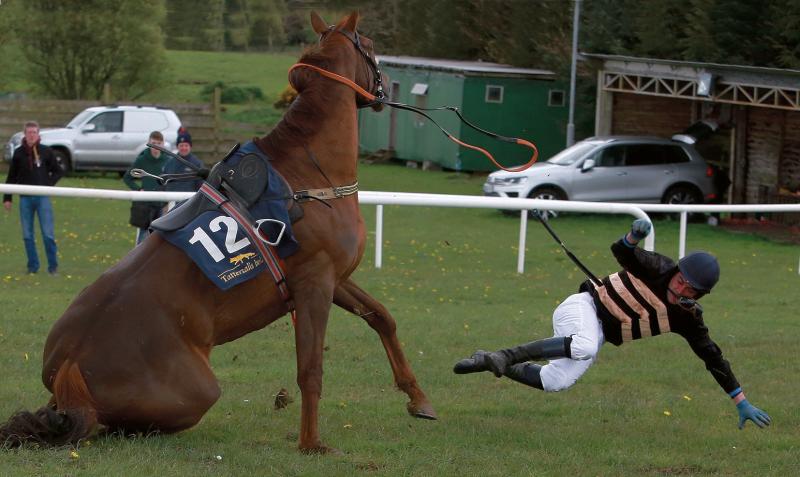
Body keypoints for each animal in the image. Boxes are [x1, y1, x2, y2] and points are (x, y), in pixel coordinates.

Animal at [0, 10, 434, 450]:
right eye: (372, 45)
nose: (384, 86)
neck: (308, 174)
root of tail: (70, 367)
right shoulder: (315, 284)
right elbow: (310, 369)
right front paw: (311, 443)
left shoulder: (334, 277)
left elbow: (381, 317)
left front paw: (418, 399)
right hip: (196, 392)